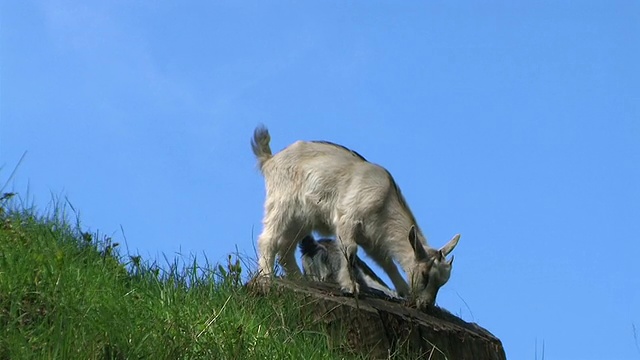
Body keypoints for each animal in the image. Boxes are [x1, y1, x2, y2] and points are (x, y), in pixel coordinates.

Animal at [251, 125, 460, 308]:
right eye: (424, 275)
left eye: (443, 282)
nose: (426, 306)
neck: (385, 199)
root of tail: (270, 159)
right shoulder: (348, 219)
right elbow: (349, 250)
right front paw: (350, 287)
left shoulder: (372, 237)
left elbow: (386, 262)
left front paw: (404, 291)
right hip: (282, 203)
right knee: (268, 239)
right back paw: (266, 276)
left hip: (302, 219)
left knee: (286, 246)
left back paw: (298, 279)